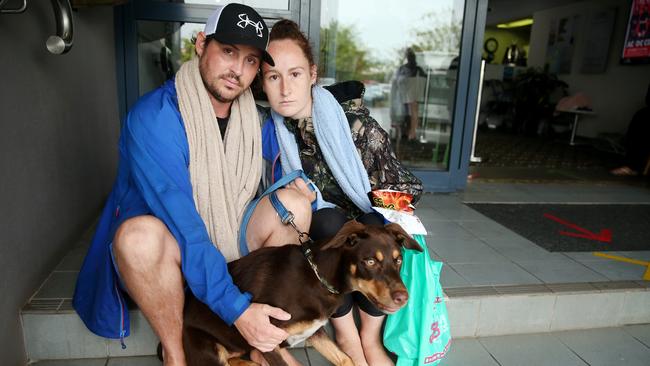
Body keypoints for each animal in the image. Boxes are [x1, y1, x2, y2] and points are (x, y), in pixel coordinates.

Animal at [181, 219, 420, 364]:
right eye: (370, 261)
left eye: (398, 260)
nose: (404, 298)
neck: (318, 278)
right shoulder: (266, 340)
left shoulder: (314, 331)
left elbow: (346, 359)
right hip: (209, 351)